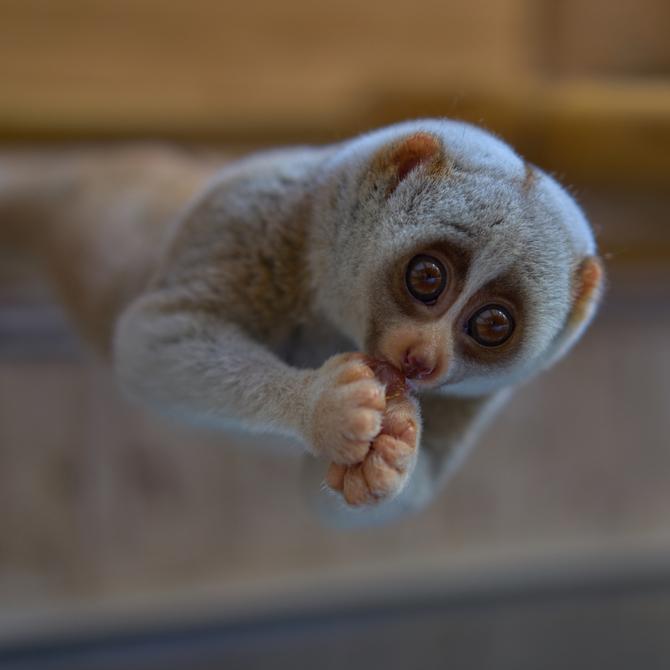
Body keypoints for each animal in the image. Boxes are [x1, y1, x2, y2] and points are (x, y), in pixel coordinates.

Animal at [0, 119, 604, 526]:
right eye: (427, 277)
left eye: (493, 326)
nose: (422, 359)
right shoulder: (254, 215)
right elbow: (154, 336)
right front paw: (324, 406)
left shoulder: (480, 398)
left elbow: (346, 493)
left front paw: (391, 458)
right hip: (93, 204)